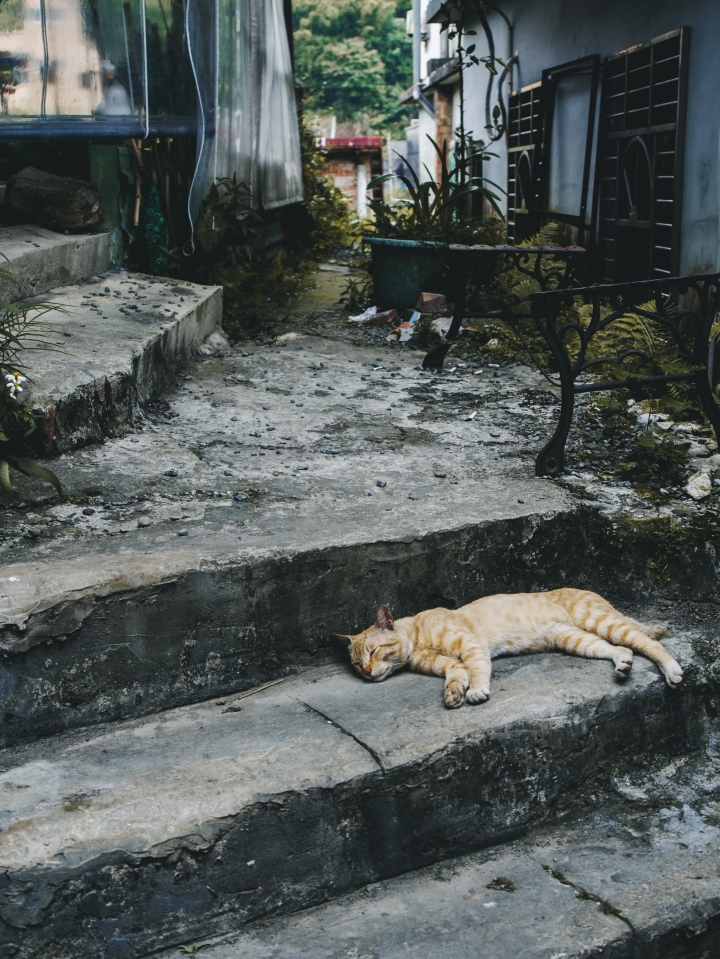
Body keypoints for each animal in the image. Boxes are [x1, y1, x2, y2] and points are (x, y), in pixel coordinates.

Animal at [332, 588, 680, 708]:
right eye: (357, 665)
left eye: (373, 653)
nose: (368, 674)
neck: (417, 636)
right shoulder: (449, 664)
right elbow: (456, 675)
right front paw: (455, 693)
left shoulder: (471, 646)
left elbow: (477, 670)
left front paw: (476, 691)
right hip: (574, 639)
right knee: (620, 650)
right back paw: (622, 664)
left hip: (601, 622)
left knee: (646, 641)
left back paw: (672, 670)